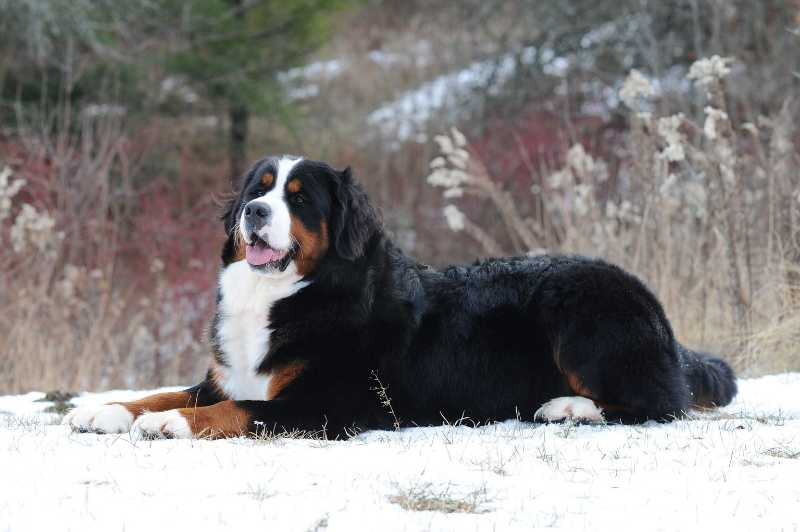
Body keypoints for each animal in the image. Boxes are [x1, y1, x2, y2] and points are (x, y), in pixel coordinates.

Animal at [65, 156, 740, 438]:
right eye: (259, 188)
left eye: (299, 198)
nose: (254, 212)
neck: (291, 295)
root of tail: (651, 303)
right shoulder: (227, 376)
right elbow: (164, 391)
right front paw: (105, 410)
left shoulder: (330, 404)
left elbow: (234, 410)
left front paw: (170, 424)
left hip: (582, 319)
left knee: (658, 404)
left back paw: (568, 408)